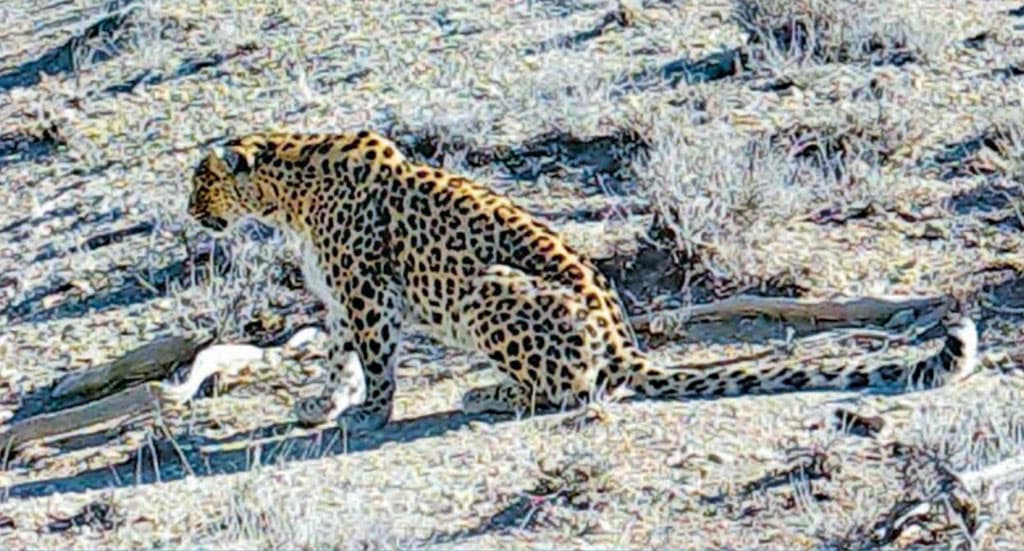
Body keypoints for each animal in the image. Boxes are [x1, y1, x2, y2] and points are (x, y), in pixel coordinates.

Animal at [183, 129, 980, 433]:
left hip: (490, 286)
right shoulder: (343, 302)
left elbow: (376, 364)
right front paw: (322, 404)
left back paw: (491, 392)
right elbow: (339, 358)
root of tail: (624, 341)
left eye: (199, 181)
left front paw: (370, 412)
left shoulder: (369, 295)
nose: (190, 211)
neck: (287, 190)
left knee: (576, 388)